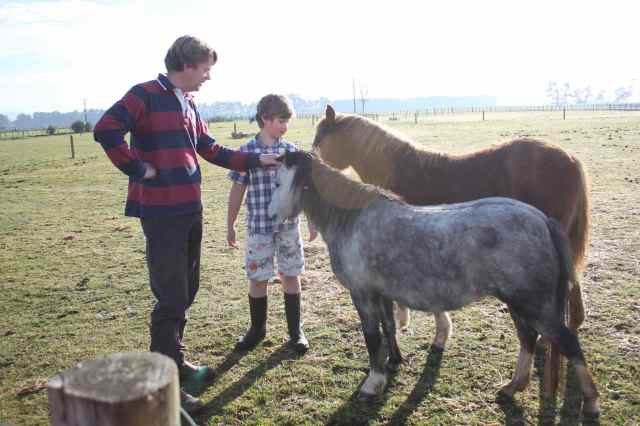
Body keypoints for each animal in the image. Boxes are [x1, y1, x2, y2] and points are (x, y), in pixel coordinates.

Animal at [267, 150, 599, 415]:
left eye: (278, 183)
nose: (270, 216)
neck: (354, 220)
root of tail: (542, 220)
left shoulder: (362, 294)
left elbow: (372, 337)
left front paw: (373, 382)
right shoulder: (380, 293)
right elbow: (389, 326)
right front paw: (394, 362)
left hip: (533, 304)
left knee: (567, 342)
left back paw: (591, 401)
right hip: (520, 303)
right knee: (528, 339)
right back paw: (511, 387)